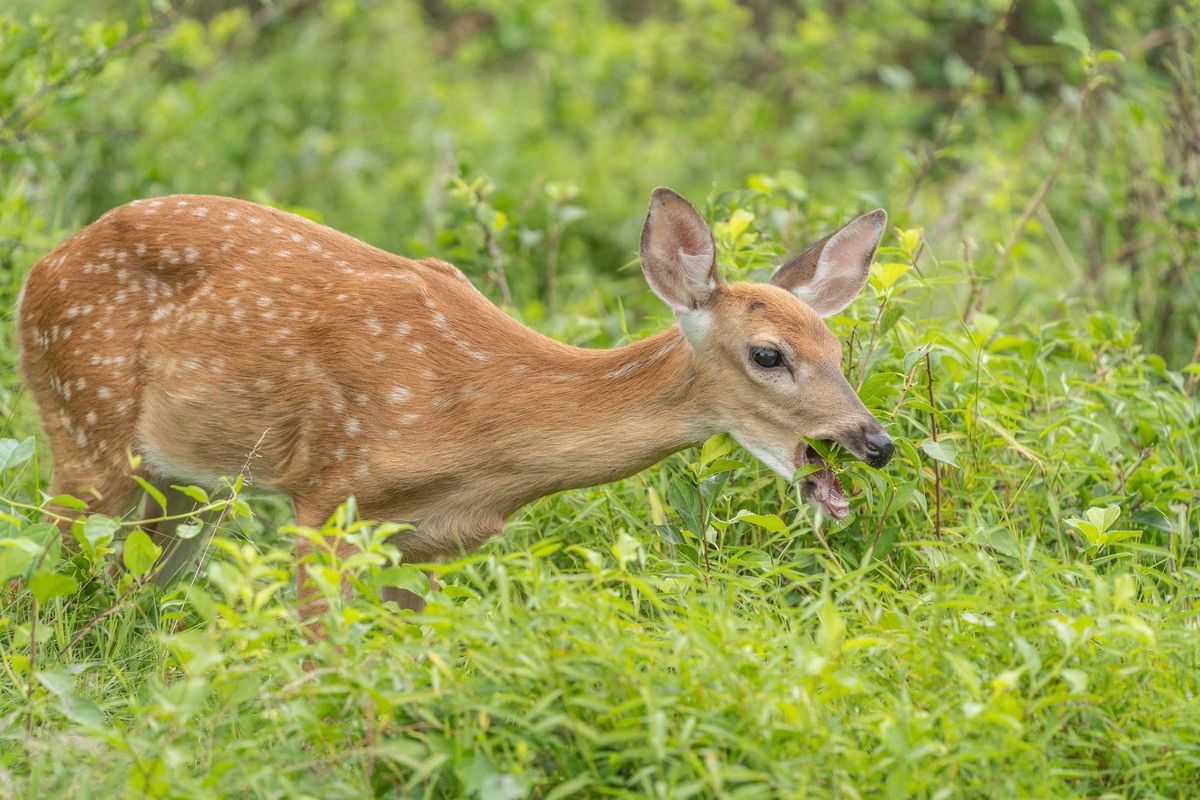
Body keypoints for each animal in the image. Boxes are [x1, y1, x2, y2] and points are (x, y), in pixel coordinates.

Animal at [18, 187, 893, 622]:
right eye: (768, 355)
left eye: (838, 351)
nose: (873, 441)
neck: (477, 428)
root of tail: (38, 270)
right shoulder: (327, 492)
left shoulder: (427, 541)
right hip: (83, 418)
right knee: (54, 572)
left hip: (187, 485)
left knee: (136, 586)